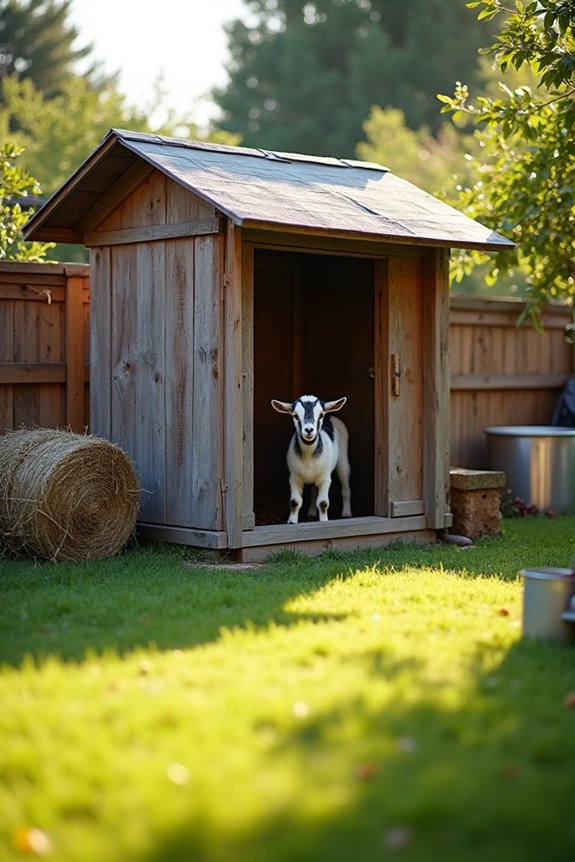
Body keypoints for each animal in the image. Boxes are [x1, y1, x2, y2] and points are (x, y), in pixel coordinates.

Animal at [271, 394, 352, 524]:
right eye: (295, 415)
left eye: (321, 415)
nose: (309, 430)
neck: (309, 455)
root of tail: (331, 415)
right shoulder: (294, 477)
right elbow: (294, 502)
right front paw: (291, 522)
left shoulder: (325, 478)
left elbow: (323, 503)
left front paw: (324, 521)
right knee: (314, 491)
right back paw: (312, 513)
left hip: (343, 456)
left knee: (345, 481)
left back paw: (347, 513)